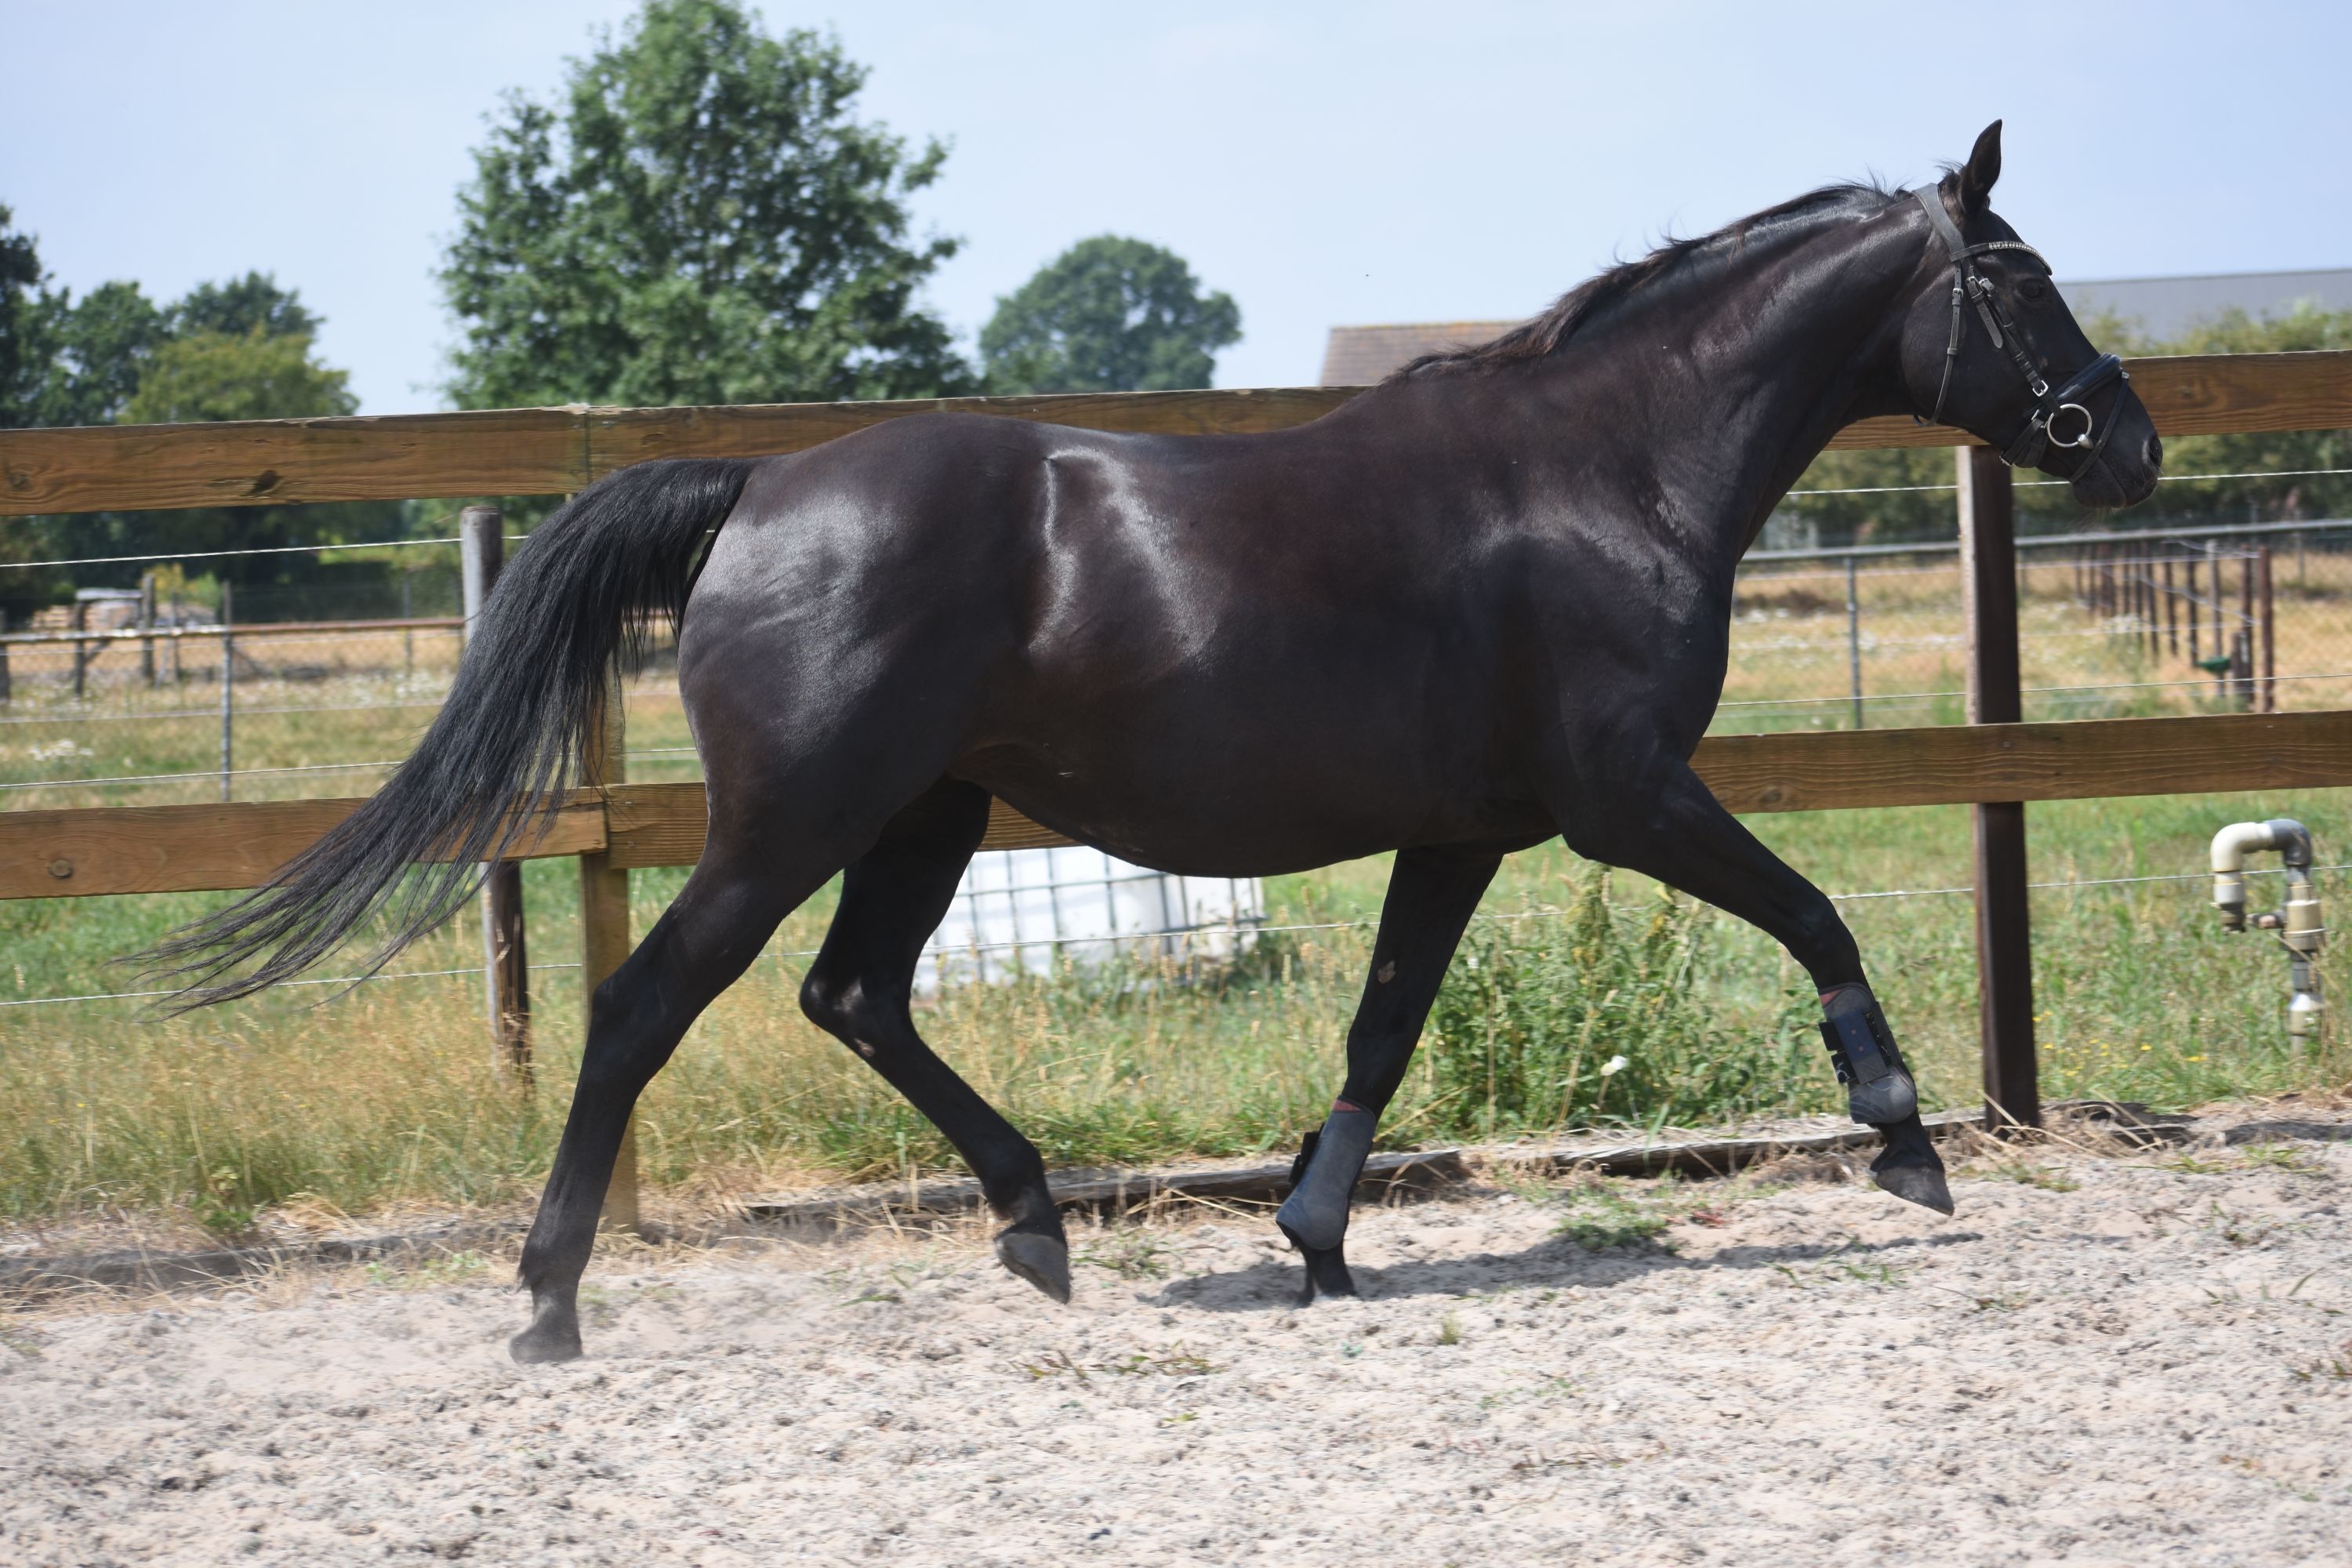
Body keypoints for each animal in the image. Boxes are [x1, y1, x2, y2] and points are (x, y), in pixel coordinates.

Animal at [148, 121, 2159, 1363]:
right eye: (2023, 273)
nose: (2128, 439)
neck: (1606, 474)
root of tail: (761, 491)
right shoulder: (1623, 799)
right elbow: (1814, 909)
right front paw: (1904, 1138)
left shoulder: (1467, 829)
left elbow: (1381, 1026)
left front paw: (1316, 1238)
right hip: (799, 818)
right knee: (651, 1003)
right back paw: (551, 1304)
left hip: (926, 815)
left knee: (855, 998)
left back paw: (1035, 1224)